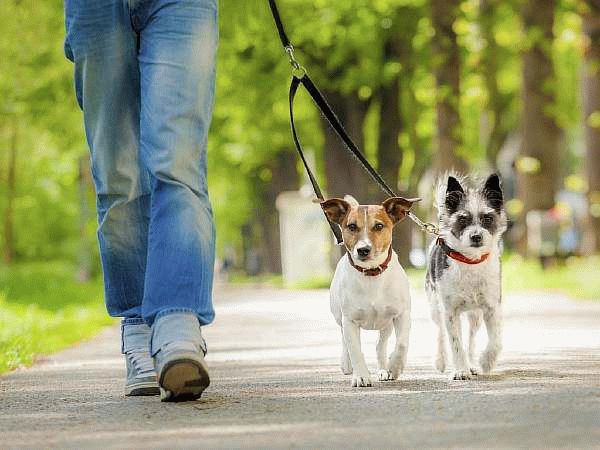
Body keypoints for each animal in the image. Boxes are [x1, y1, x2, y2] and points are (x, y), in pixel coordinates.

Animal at [322, 193, 420, 386]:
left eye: (379, 226)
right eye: (352, 226)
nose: (363, 250)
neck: (372, 273)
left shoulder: (402, 315)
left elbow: (402, 344)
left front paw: (395, 366)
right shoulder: (350, 320)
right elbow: (355, 350)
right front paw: (361, 376)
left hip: (386, 324)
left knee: (380, 345)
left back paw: (383, 370)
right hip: (339, 316)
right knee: (344, 339)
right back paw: (347, 364)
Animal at [424, 173, 508, 380]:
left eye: (487, 218)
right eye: (462, 219)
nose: (476, 236)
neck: (470, 261)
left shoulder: (492, 307)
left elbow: (496, 341)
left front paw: (486, 362)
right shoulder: (450, 312)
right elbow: (455, 343)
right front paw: (460, 370)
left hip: (475, 316)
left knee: (471, 339)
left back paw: (472, 364)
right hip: (435, 307)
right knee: (440, 333)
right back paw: (441, 360)